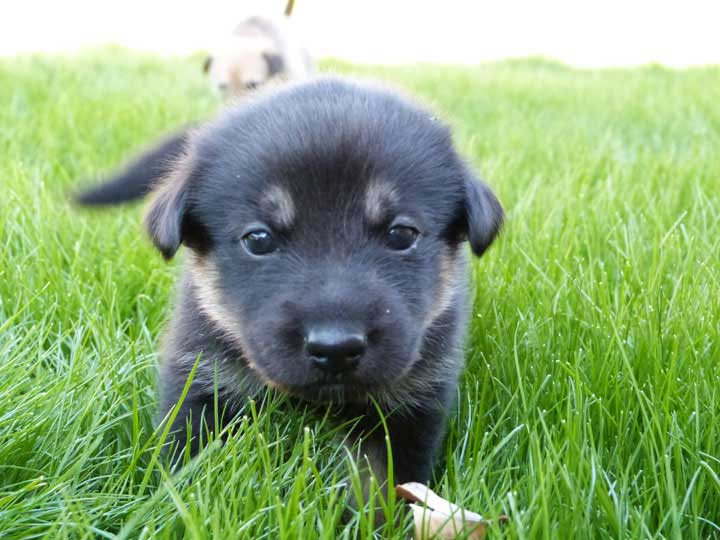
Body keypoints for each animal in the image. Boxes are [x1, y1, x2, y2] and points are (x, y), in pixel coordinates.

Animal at [76, 77, 504, 490]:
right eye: (258, 239)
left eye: (402, 234)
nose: (335, 348)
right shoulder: (200, 372)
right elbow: (193, 464)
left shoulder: (408, 404)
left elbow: (381, 483)